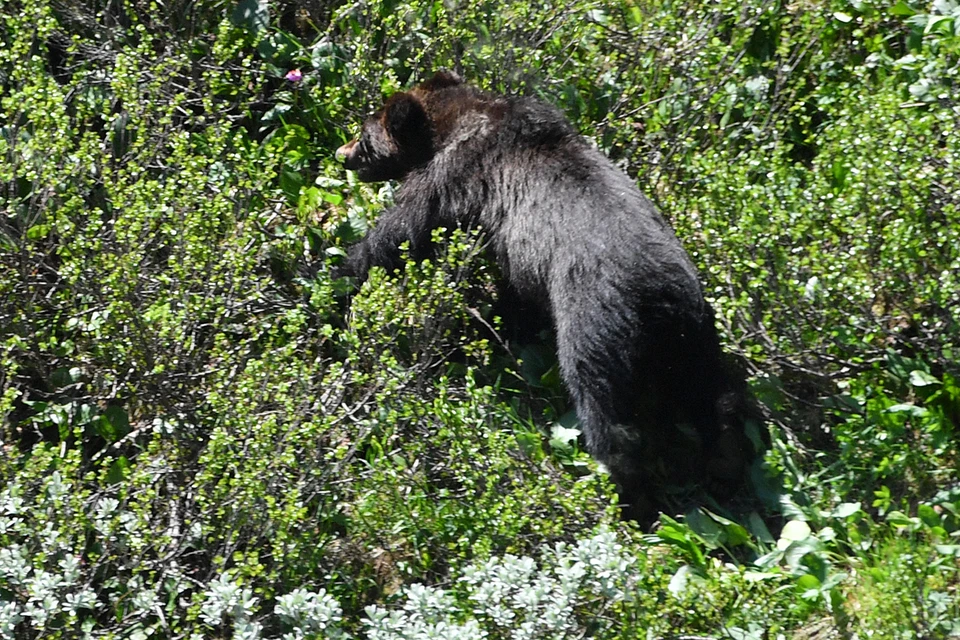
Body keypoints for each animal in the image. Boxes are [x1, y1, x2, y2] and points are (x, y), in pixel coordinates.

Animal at [338, 70, 752, 512]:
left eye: (364, 135)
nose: (342, 154)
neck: (455, 123)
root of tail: (660, 293)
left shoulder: (457, 176)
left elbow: (403, 232)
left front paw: (338, 273)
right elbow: (512, 298)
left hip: (594, 319)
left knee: (604, 404)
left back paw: (627, 494)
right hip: (693, 330)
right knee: (711, 392)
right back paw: (725, 464)